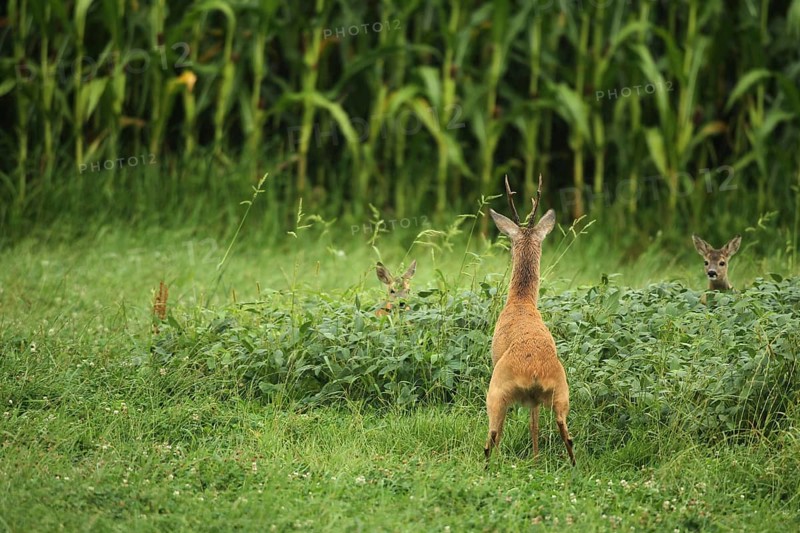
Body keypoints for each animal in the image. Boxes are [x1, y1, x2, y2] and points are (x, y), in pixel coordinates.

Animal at [484, 175, 576, 467]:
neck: (521, 302)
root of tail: (534, 370)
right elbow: (534, 423)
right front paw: (535, 457)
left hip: (496, 390)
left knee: (493, 433)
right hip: (562, 393)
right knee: (565, 432)